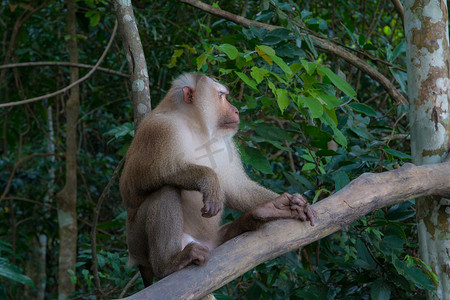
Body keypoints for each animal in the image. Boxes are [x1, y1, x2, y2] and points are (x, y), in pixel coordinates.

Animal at [119, 74, 316, 288]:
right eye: (221, 96)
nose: (236, 110)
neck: (196, 126)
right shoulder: (161, 130)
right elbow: (141, 179)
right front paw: (209, 179)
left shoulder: (225, 143)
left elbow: (237, 189)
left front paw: (288, 204)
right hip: (137, 241)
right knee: (166, 190)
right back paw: (169, 265)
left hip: (212, 242)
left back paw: (263, 212)